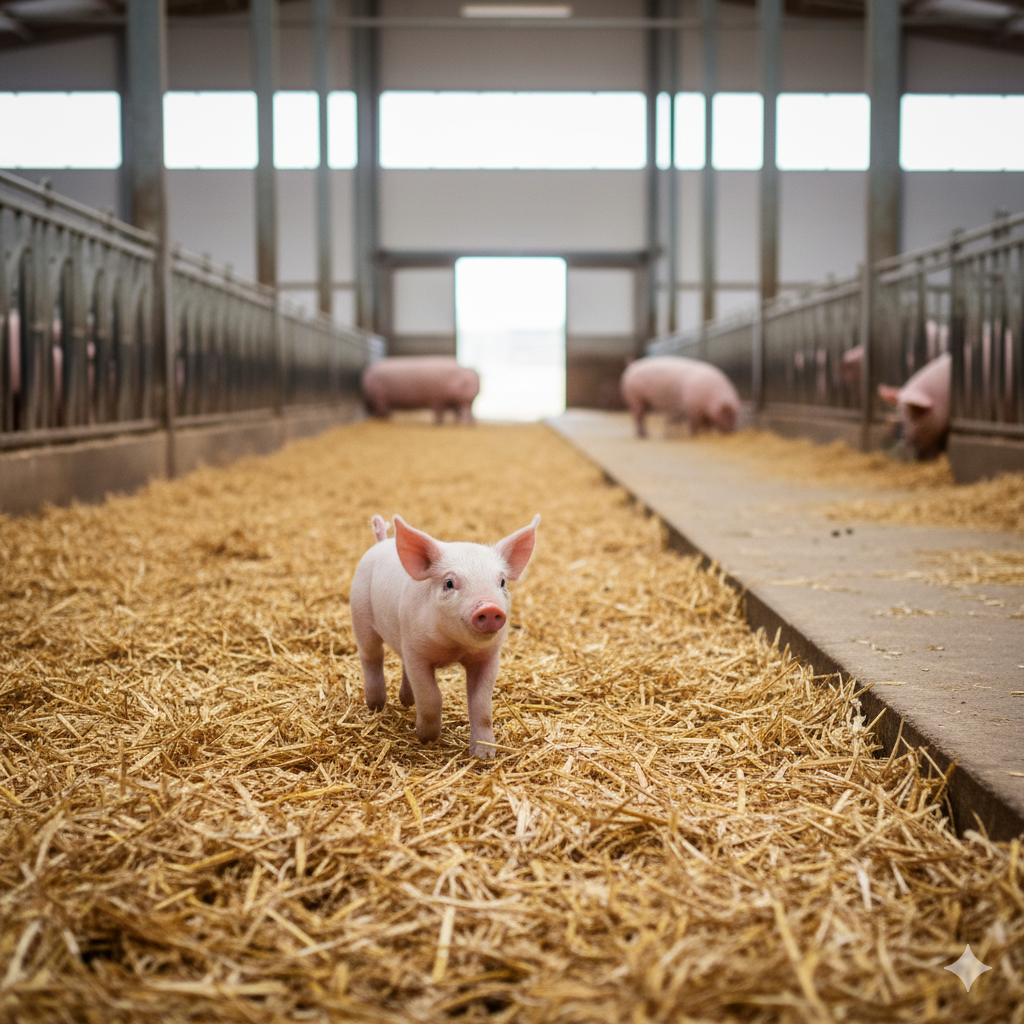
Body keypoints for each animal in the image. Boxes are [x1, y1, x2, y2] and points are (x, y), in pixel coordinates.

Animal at [349, 513, 540, 758]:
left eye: (502, 582)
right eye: (449, 583)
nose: (489, 608)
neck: (454, 648)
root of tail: (382, 541)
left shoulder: (488, 656)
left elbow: (481, 704)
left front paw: (484, 755)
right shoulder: (417, 652)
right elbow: (431, 696)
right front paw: (426, 738)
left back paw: (407, 702)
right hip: (360, 614)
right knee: (372, 657)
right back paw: (376, 705)